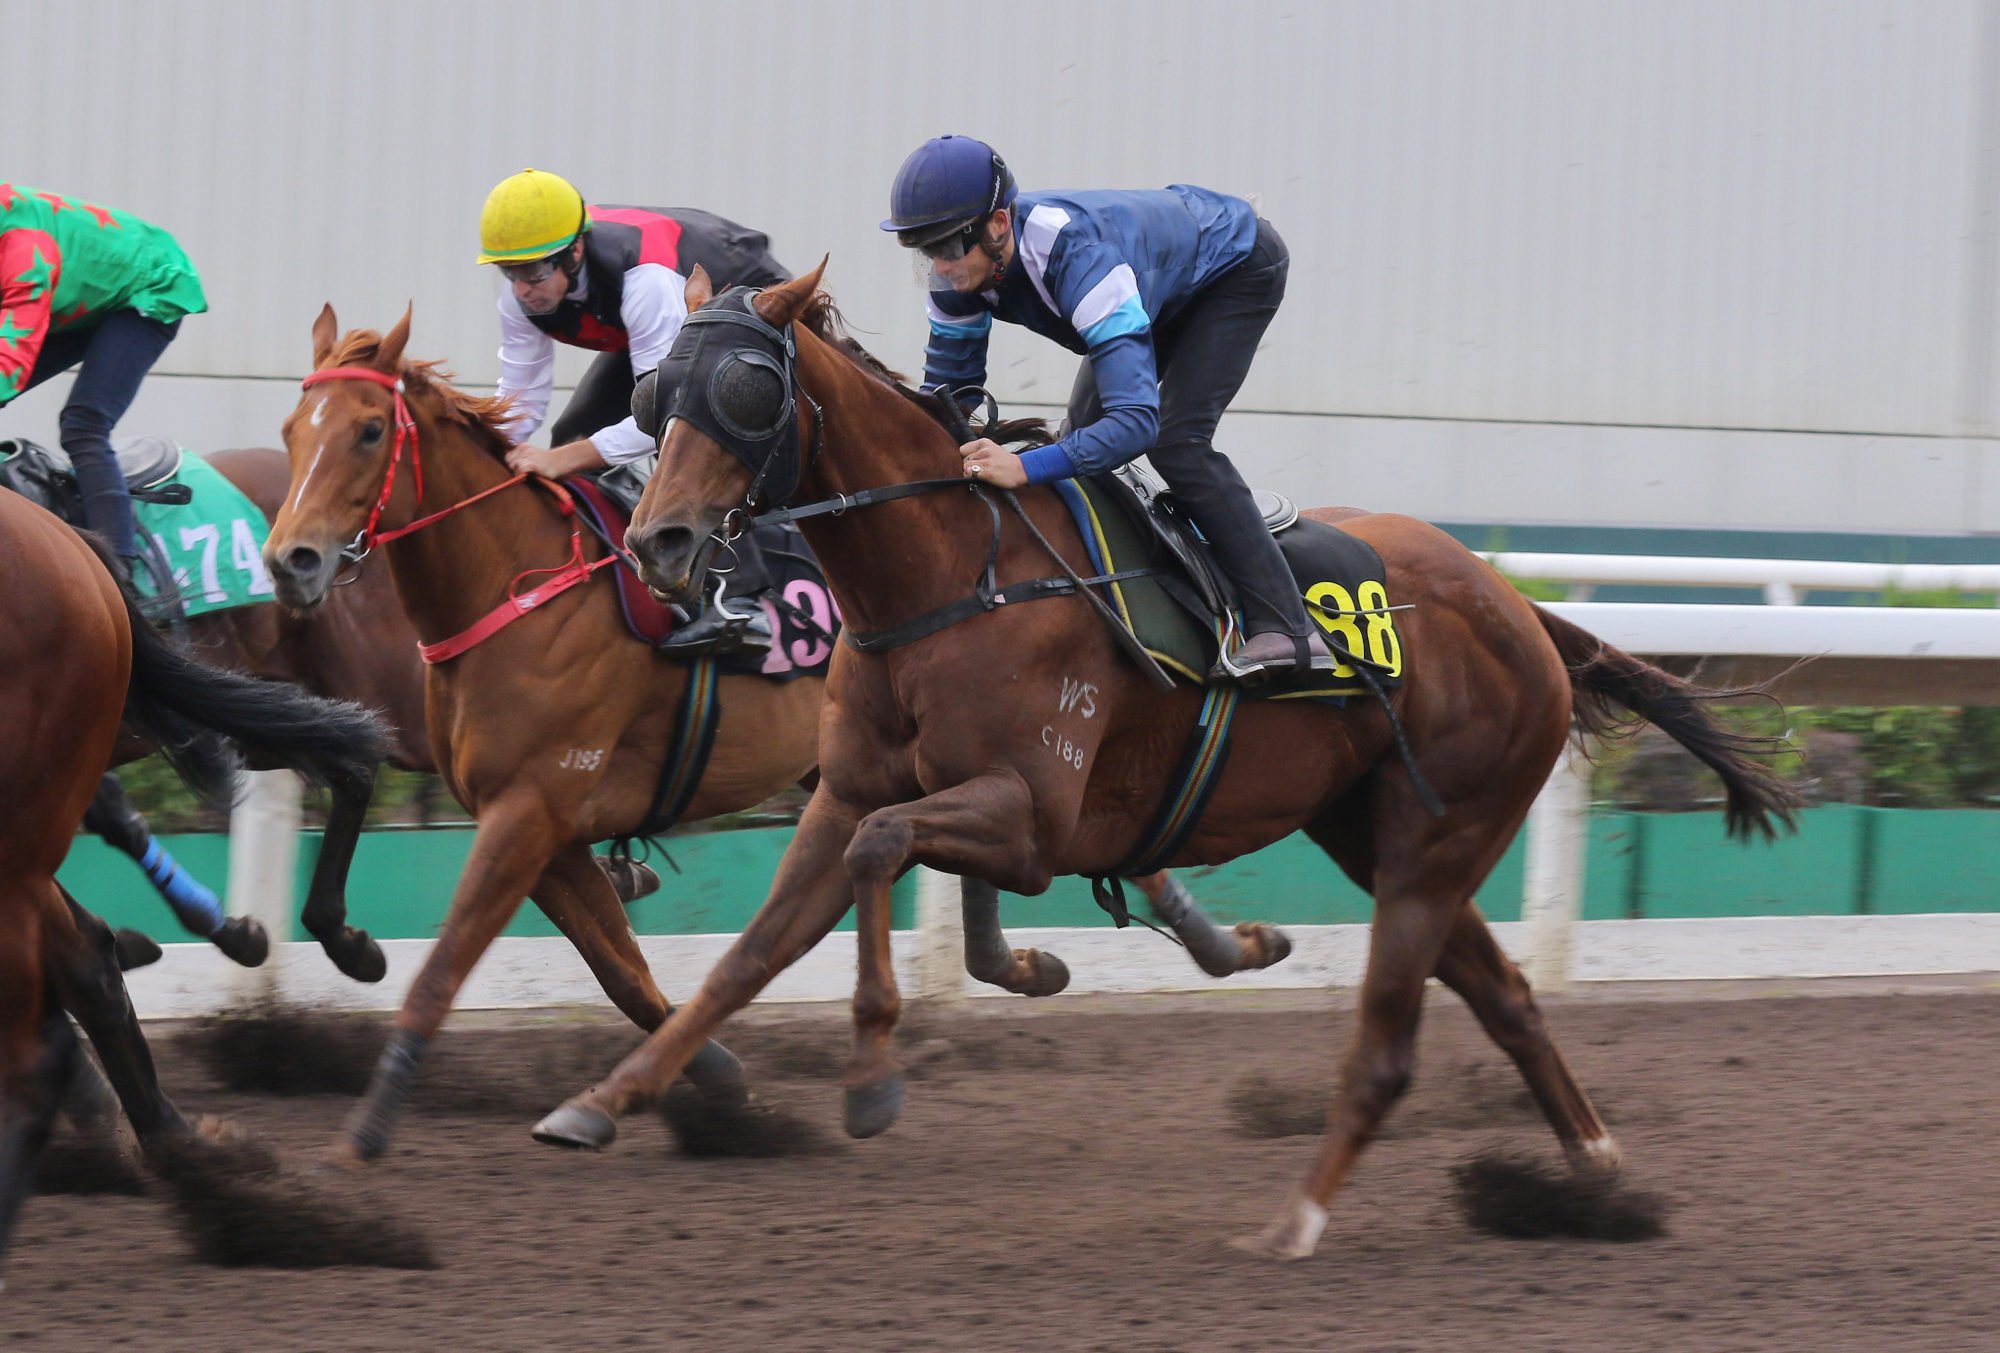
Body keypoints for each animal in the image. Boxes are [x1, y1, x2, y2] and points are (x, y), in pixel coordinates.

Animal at [528, 264, 1800, 1256]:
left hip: (1439, 835)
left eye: (746, 391)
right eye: (651, 394)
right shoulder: (841, 792)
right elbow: (749, 954)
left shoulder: (1030, 818)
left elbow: (886, 855)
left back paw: (1299, 1221)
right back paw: (1592, 1173)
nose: (661, 543)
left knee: (1396, 1042)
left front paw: (875, 1076)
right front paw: (602, 1102)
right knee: (1509, 998)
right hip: (1376, 832)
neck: (947, 575)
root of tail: (1524, 610)